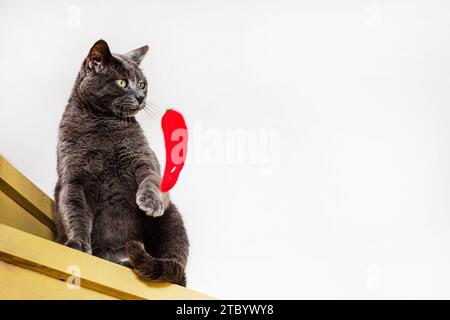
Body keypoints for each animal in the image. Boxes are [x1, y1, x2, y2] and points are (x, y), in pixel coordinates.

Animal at [53, 38, 189, 286]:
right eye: (122, 82)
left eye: (143, 84)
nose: (141, 97)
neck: (103, 124)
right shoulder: (73, 178)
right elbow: (74, 210)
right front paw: (77, 244)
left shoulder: (143, 157)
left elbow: (150, 177)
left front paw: (149, 202)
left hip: (173, 219)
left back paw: (133, 264)